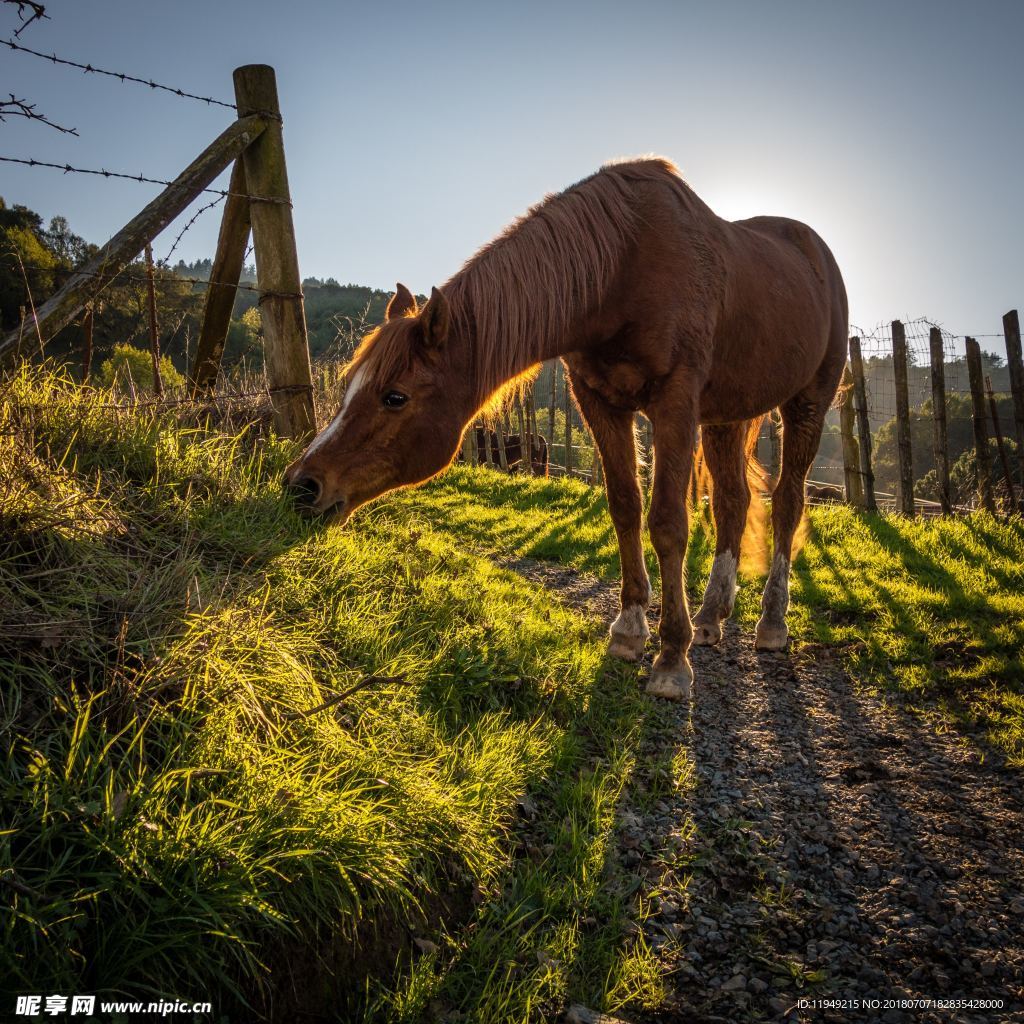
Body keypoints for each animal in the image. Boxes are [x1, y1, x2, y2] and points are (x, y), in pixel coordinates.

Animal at [284, 157, 843, 704]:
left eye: (394, 396)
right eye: (348, 385)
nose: (301, 485)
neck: (622, 268)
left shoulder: (675, 403)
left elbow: (667, 521)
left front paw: (670, 659)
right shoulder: (599, 403)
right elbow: (625, 507)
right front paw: (630, 630)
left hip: (807, 404)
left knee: (788, 502)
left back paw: (771, 623)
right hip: (727, 416)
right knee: (733, 501)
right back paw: (710, 616)